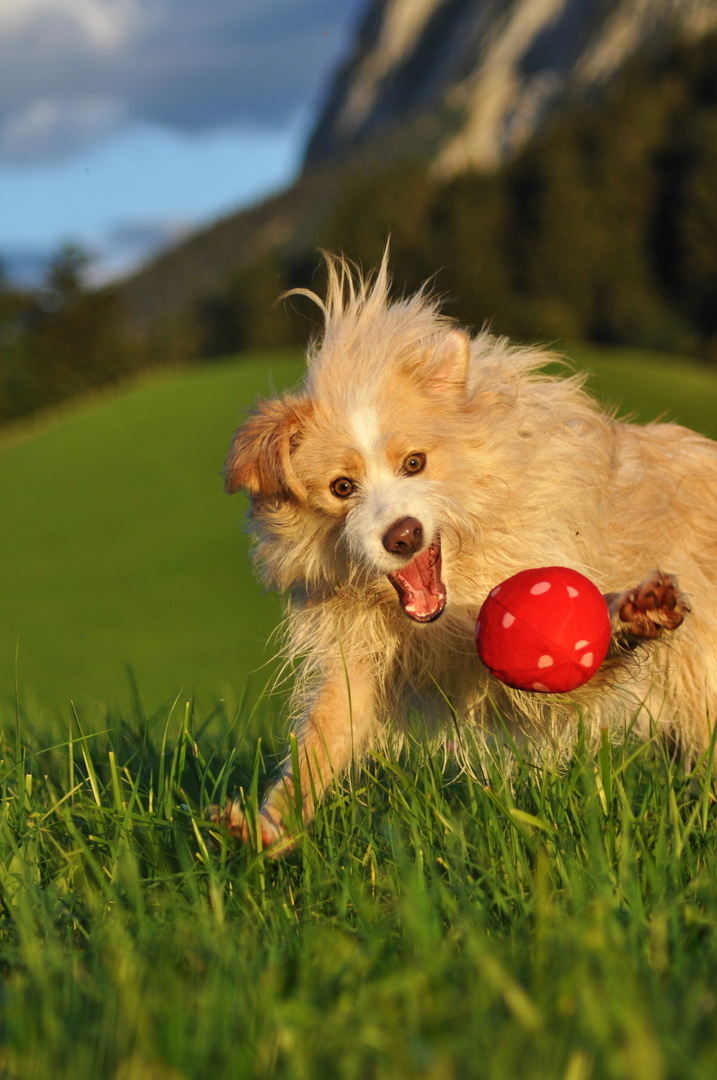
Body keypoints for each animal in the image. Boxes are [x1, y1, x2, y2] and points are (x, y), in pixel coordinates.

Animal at [213, 254, 717, 851]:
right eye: (341, 487)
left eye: (414, 463)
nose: (403, 536)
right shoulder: (358, 664)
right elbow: (323, 739)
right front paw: (271, 825)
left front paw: (630, 612)